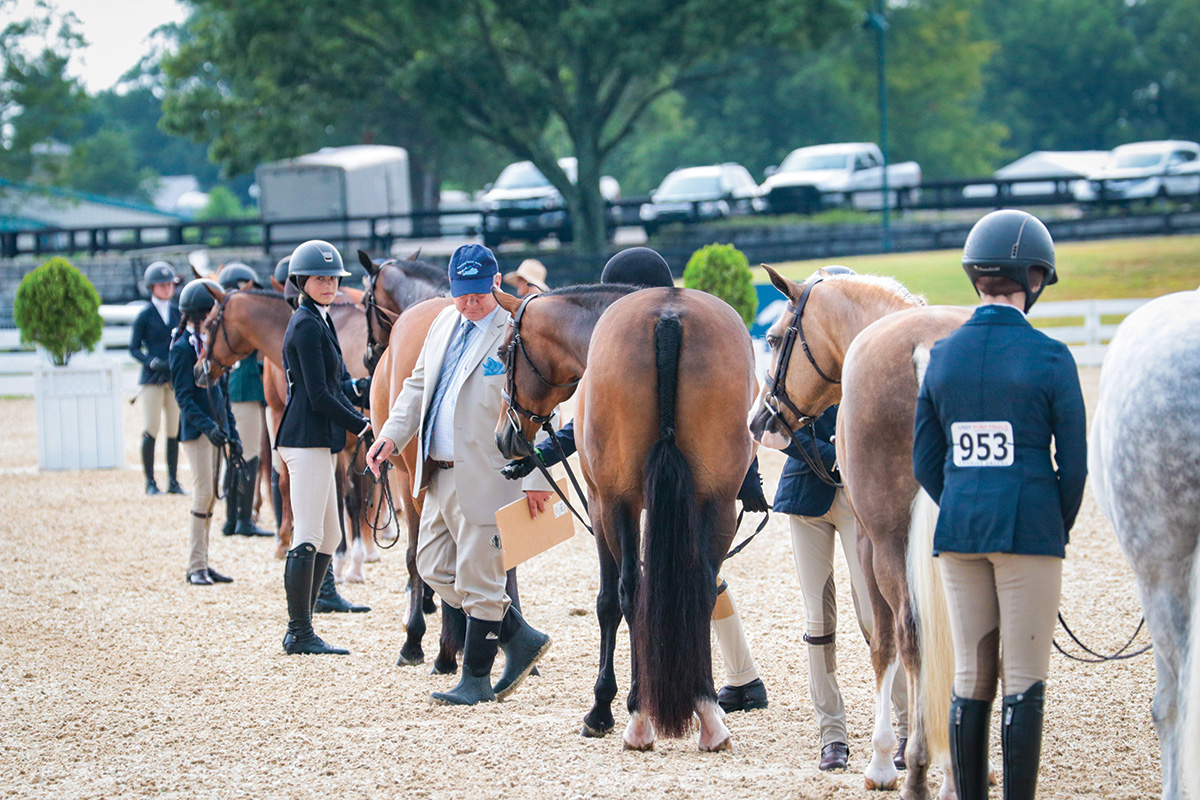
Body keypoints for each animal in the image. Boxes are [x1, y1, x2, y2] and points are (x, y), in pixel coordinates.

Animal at [492, 286, 753, 753]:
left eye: (504, 353)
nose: (506, 437)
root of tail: (669, 315)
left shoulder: (602, 503)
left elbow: (609, 602)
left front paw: (601, 708)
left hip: (618, 503)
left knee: (629, 592)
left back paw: (638, 716)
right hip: (718, 501)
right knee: (703, 589)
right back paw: (707, 712)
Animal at [744, 271, 969, 800]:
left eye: (774, 338)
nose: (760, 422)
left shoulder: (869, 542)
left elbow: (883, 642)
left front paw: (884, 762)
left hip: (886, 544)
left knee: (909, 632)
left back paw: (917, 768)